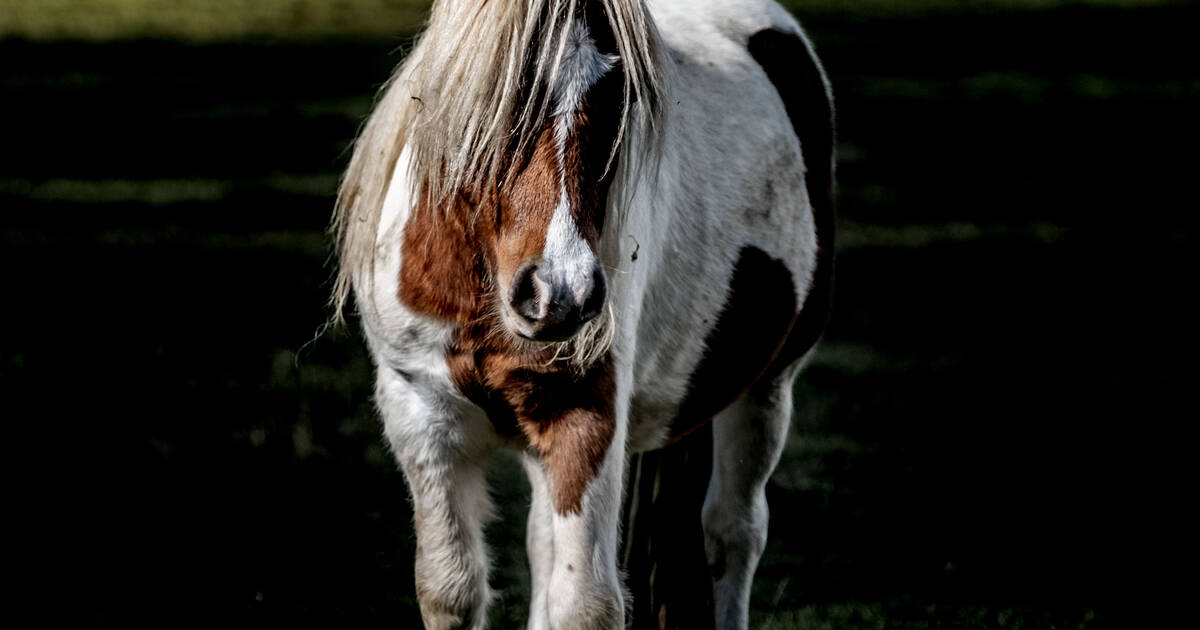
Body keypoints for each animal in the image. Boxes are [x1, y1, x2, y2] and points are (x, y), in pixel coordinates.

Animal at [331, 0, 835, 624]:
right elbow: (451, 590)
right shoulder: (421, 413)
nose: (560, 294)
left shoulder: (586, 417)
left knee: (733, 536)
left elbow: (584, 604)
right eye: (503, 92)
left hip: (767, 387)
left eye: (621, 93)